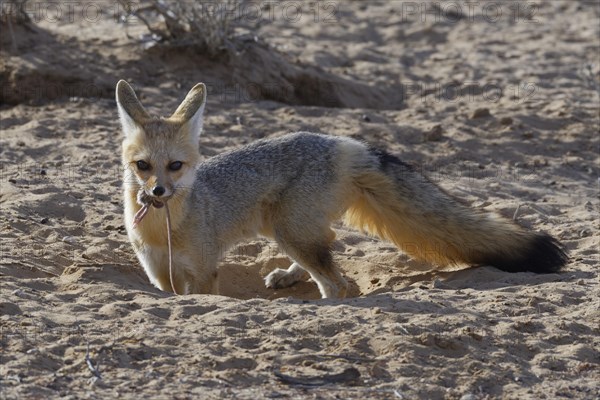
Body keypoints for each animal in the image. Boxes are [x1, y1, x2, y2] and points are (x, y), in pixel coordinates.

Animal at [116, 81, 568, 298]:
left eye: (176, 166)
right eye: (143, 166)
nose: (157, 192)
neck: (165, 231)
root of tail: (341, 141)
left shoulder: (205, 270)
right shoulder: (160, 276)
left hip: (289, 229)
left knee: (337, 282)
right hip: (287, 227)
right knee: (328, 245)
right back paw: (288, 276)